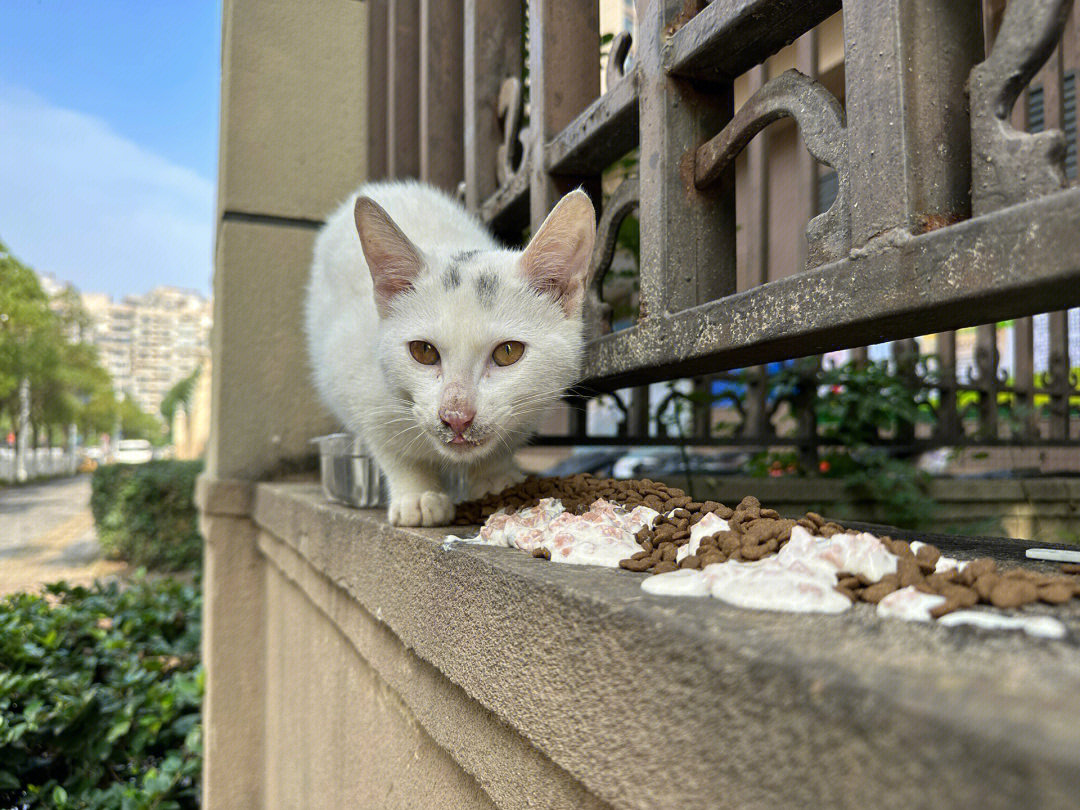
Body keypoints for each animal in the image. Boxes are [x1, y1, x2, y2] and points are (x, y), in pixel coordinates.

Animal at [304, 180, 596, 529]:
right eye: (423, 351)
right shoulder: (353, 380)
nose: (456, 416)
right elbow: (389, 446)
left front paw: (495, 477)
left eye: (508, 352)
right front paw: (417, 494)